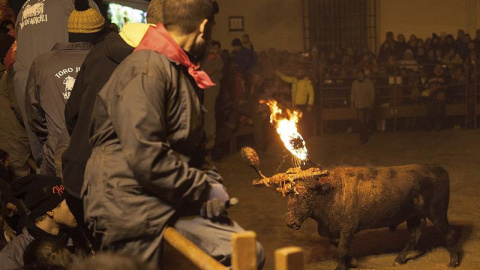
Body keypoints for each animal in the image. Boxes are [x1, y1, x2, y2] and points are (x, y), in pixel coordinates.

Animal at [242, 148, 460, 270]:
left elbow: (341, 250)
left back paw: (453, 262)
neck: (330, 192)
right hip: (413, 216)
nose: (290, 222)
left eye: (305, 196)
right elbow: (338, 247)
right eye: (288, 196)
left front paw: (342, 266)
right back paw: (398, 259)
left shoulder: (348, 229)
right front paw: (352, 261)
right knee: (415, 236)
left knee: (449, 234)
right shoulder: (333, 230)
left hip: (437, 213)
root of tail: (440, 170)